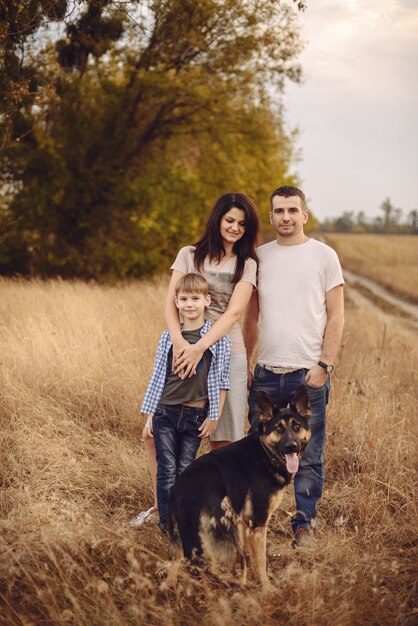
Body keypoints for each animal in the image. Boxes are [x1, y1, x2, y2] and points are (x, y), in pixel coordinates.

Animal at [167, 382, 310, 588]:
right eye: (278, 429)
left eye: (297, 427)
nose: (292, 446)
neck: (265, 454)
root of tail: (184, 491)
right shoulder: (258, 524)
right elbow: (260, 560)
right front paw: (266, 587)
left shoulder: (245, 523)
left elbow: (251, 556)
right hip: (228, 543)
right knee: (223, 570)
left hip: (181, 538)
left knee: (175, 564)